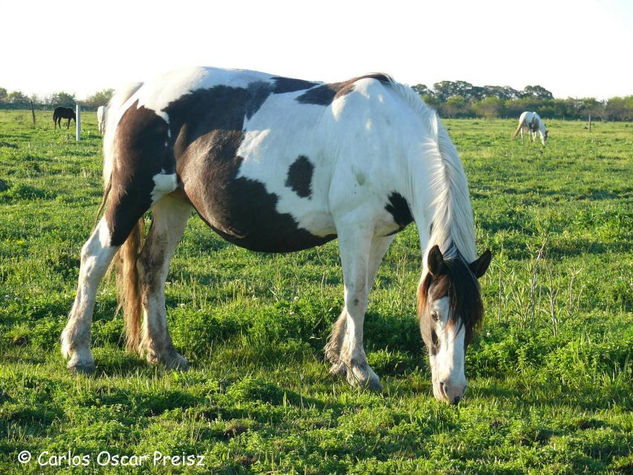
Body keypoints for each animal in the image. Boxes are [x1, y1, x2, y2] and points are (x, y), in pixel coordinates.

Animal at [60, 67, 488, 406]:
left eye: (473, 318)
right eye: (435, 315)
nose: (452, 390)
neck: (388, 137)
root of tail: (140, 91)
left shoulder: (381, 233)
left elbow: (362, 290)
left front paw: (337, 358)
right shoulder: (354, 225)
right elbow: (355, 295)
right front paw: (359, 370)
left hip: (172, 201)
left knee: (152, 268)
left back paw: (163, 353)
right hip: (131, 194)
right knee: (94, 258)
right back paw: (79, 352)